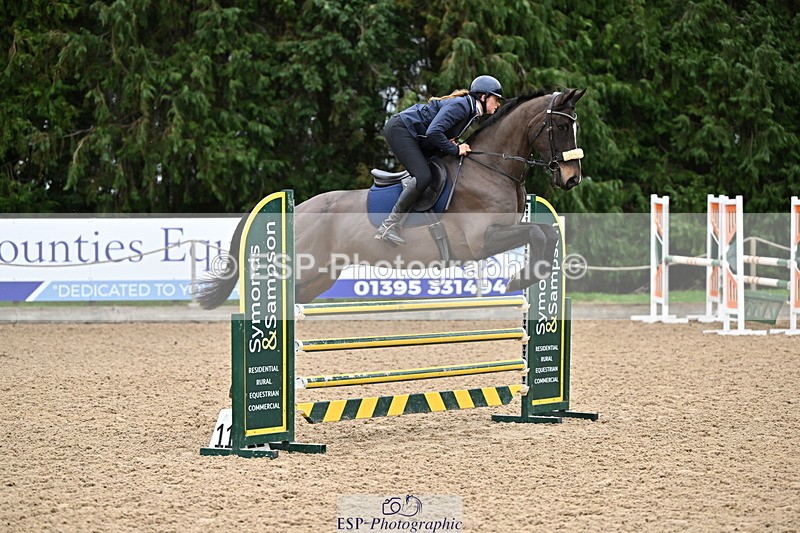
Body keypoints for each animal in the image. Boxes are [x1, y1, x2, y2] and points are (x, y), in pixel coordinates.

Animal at [196, 88, 586, 307]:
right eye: (561, 126)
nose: (572, 178)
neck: (491, 166)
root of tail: (297, 209)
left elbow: (547, 234)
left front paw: (528, 276)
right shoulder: (482, 239)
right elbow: (538, 232)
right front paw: (519, 280)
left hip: (321, 275)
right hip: (304, 268)